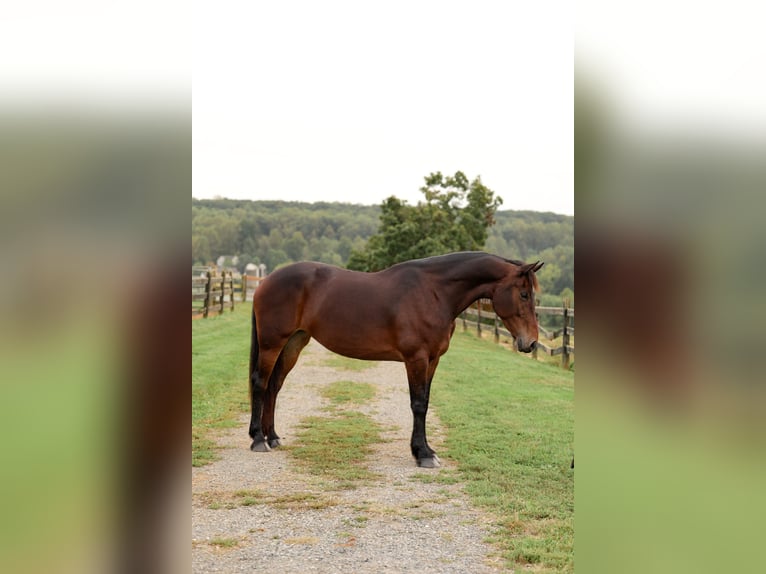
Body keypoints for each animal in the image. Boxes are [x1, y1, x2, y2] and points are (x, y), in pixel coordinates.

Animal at [248, 251, 544, 468]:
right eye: (524, 294)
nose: (530, 342)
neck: (433, 293)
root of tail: (266, 281)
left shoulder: (433, 360)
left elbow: (425, 401)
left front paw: (424, 449)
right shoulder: (417, 359)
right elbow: (418, 404)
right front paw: (423, 454)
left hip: (294, 343)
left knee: (274, 386)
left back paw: (273, 437)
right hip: (273, 343)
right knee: (260, 384)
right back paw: (258, 440)